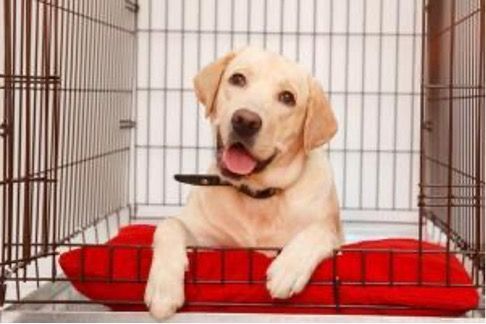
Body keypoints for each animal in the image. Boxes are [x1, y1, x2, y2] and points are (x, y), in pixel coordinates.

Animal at [144, 46, 342, 320]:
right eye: (238, 79)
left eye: (287, 97)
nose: (246, 121)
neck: (256, 196)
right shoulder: (206, 239)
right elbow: (168, 225)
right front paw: (163, 288)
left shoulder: (336, 238)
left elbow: (320, 231)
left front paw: (288, 267)